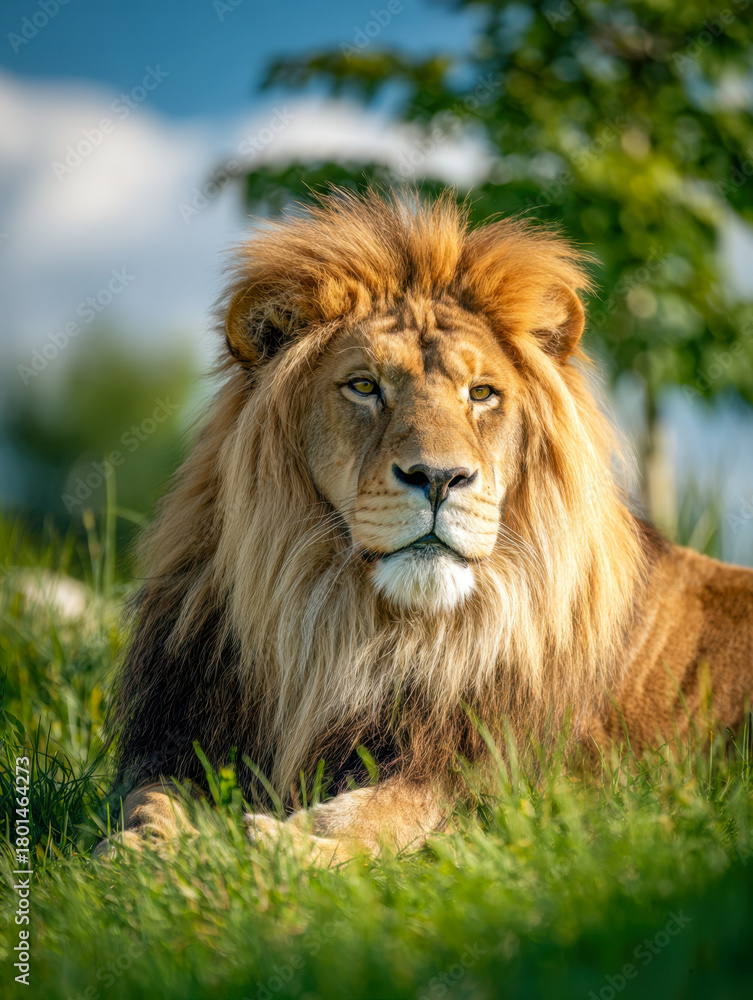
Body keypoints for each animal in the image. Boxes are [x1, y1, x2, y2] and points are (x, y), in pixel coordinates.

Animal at [100, 190, 753, 864]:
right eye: (365, 386)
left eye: (482, 393)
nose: (440, 478)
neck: (345, 630)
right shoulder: (182, 738)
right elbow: (149, 802)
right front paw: (137, 855)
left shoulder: (481, 782)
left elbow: (381, 816)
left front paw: (281, 845)